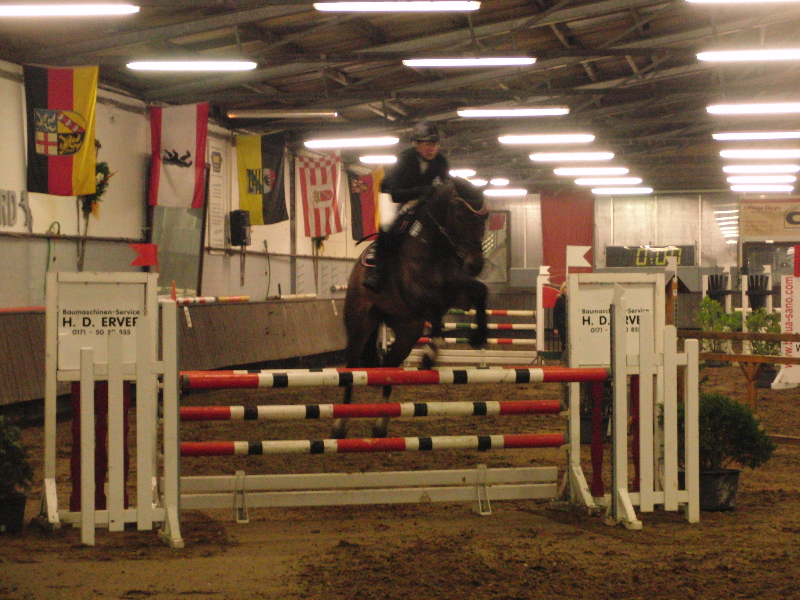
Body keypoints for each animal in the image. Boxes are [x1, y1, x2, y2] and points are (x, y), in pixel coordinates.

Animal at [332, 178, 490, 439]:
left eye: (485, 217)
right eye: (459, 214)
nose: (475, 265)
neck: (433, 247)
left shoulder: (458, 293)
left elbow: (480, 292)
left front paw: (478, 337)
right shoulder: (418, 295)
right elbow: (435, 309)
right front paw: (430, 354)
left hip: (407, 331)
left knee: (388, 367)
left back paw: (380, 425)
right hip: (361, 326)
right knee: (352, 370)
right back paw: (340, 425)